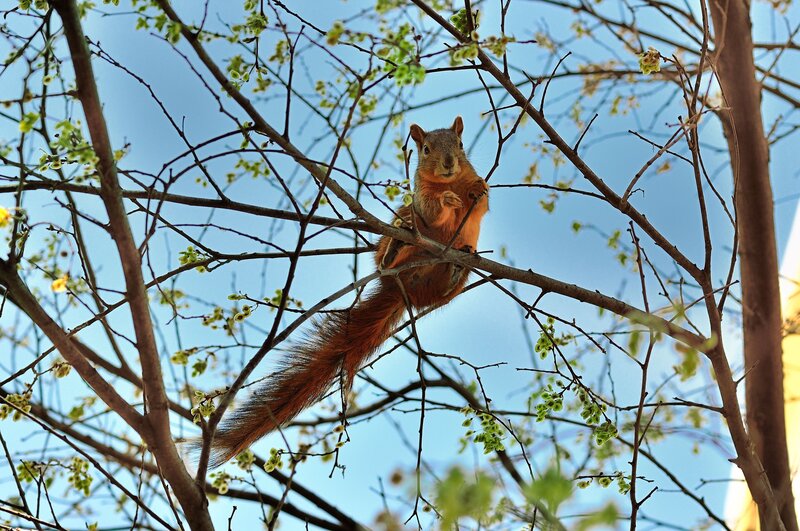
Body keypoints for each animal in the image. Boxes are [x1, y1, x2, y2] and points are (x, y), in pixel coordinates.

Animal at [207, 116, 489, 466]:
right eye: (425, 149)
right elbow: (432, 210)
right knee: (395, 242)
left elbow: (480, 206)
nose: (449, 163)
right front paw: (448, 201)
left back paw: (453, 271)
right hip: (399, 222)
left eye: (461, 145)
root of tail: (401, 288)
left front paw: (476, 190)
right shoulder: (421, 197)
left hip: (455, 276)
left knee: (445, 286)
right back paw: (395, 250)